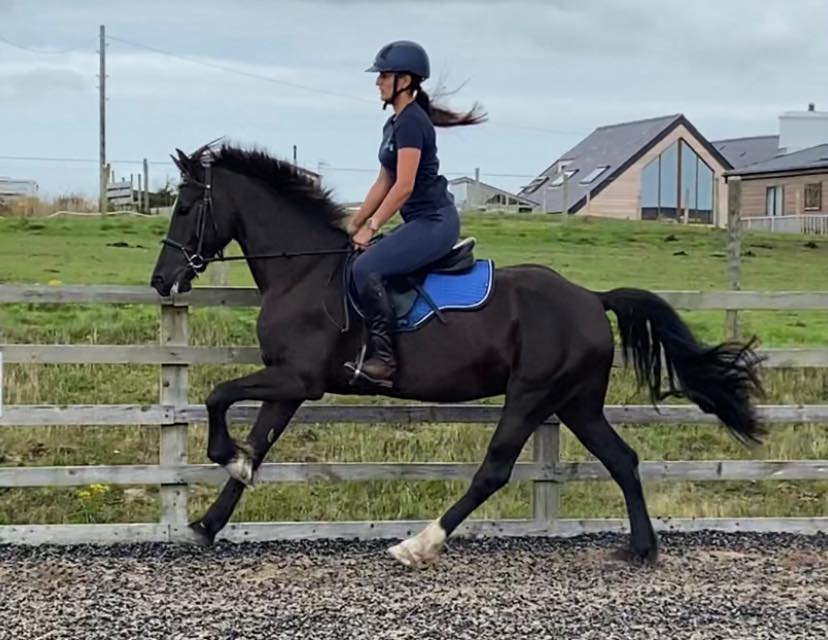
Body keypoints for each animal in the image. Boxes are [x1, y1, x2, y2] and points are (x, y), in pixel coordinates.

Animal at [150, 143, 765, 568]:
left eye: (185, 206)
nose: (161, 281)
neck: (305, 273)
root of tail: (592, 298)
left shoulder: (298, 379)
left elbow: (218, 395)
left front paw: (223, 454)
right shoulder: (288, 383)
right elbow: (258, 444)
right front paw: (210, 518)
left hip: (531, 395)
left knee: (494, 470)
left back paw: (419, 544)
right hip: (576, 403)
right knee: (623, 460)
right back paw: (641, 548)